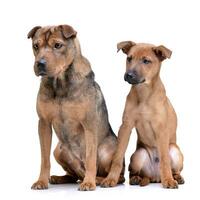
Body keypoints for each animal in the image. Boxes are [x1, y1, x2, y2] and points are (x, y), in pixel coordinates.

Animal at [27, 24, 124, 191]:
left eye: (57, 45)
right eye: (36, 46)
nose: (40, 63)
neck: (60, 82)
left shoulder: (89, 124)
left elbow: (91, 158)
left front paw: (89, 183)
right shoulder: (44, 124)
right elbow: (44, 159)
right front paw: (41, 181)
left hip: (107, 151)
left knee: (117, 175)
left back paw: (100, 180)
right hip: (59, 150)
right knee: (74, 174)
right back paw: (59, 178)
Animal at [101, 41, 184, 189]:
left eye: (146, 61)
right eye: (129, 58)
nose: (129, 75)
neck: (144, 94)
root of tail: (155, 177)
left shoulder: (161, 130)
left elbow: (165, 159)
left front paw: (168, 180)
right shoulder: (126, 127)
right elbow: (117, 157)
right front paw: (111, 179)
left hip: (175, 150)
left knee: (174, 167)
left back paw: (176, 177)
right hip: (139, 155)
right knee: (133, 172)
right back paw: (136, 179)